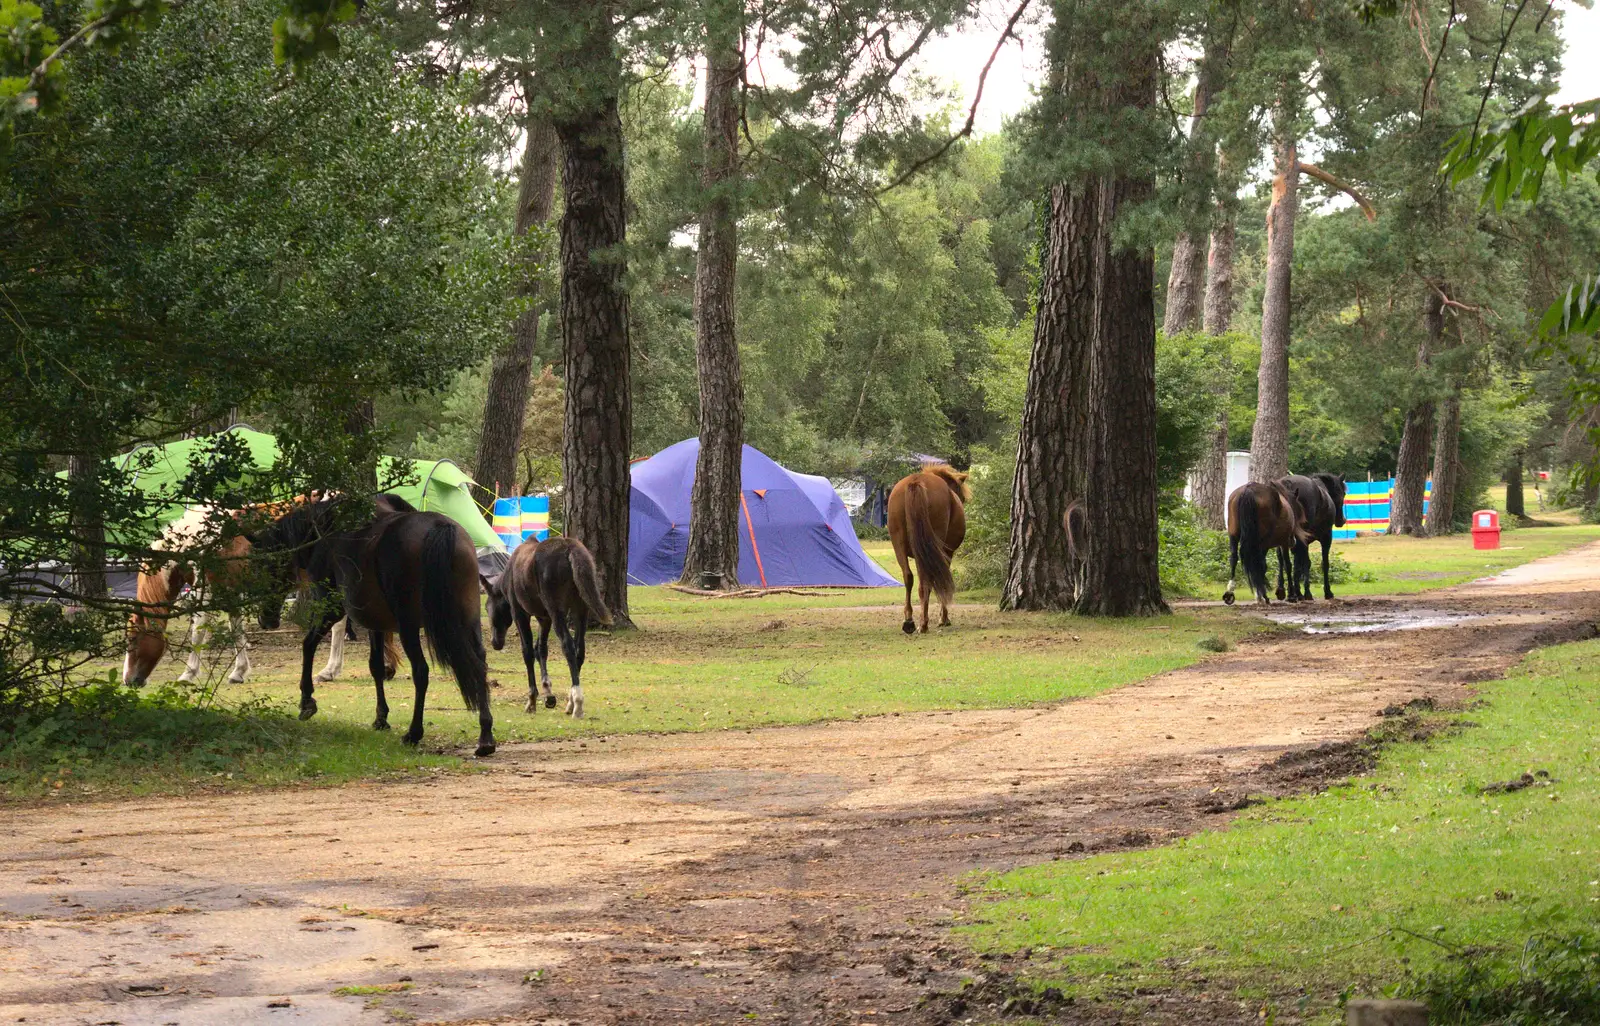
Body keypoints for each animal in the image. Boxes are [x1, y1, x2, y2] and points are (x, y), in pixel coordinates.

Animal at [249, 492, 496, 755]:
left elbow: (308, 645)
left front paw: (307, 701)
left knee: (421, 671)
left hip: (409, 627)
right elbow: (376, 666)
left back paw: (414, 732)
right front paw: (381, 718)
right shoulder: (377, 624)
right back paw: (485, 735)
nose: (265, 619)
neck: (324, 530)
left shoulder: (332, 609)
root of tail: (440, 527)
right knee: (479, 663)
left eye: (263, 566)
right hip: (468, 620)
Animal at [480, 537, 611, 720]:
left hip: (557, 609)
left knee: (568, 646)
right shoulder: (544, 618)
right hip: (580, 609)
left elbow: (528, 652)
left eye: (487, 608)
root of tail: (570, 548)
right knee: (580, 650)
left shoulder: (520, 613)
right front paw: (548, 693)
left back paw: (577, 703)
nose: (495, 642)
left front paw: (532, 700)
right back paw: (570, 702)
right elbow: (541, 649)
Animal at [883, 460, 966, 633]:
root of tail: (916, 481)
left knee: (909, 577)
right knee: (927, 582)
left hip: (901, 546)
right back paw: (924, 623)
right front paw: (944, 618)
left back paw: (909, 620)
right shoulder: (946, 554)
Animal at [1273, 473, 1350, 601]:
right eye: (1343, 493)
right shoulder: (1326, 537)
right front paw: (1326, 592)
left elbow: (1296, 562)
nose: (1342, 520)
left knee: (1284, 561)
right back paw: (1300, 593)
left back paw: (1286, 591)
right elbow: (1322, 563)